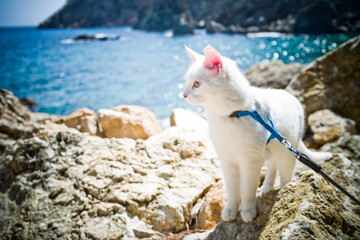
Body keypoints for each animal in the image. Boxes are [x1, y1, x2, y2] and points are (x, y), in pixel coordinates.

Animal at [183, 45, 332, 223]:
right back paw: (267, 187)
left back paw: (284, 190)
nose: (184, 94)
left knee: (285, 174)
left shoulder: (250, 161)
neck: (231, 115)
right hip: (273, 148)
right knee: (272, 166)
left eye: (197, 84)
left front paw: (247, 210)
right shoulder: (227, 161)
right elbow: (232, 190)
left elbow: (247, 189)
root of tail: (289, 95)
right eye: (186, 82)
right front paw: (230, 210)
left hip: (286, 155)